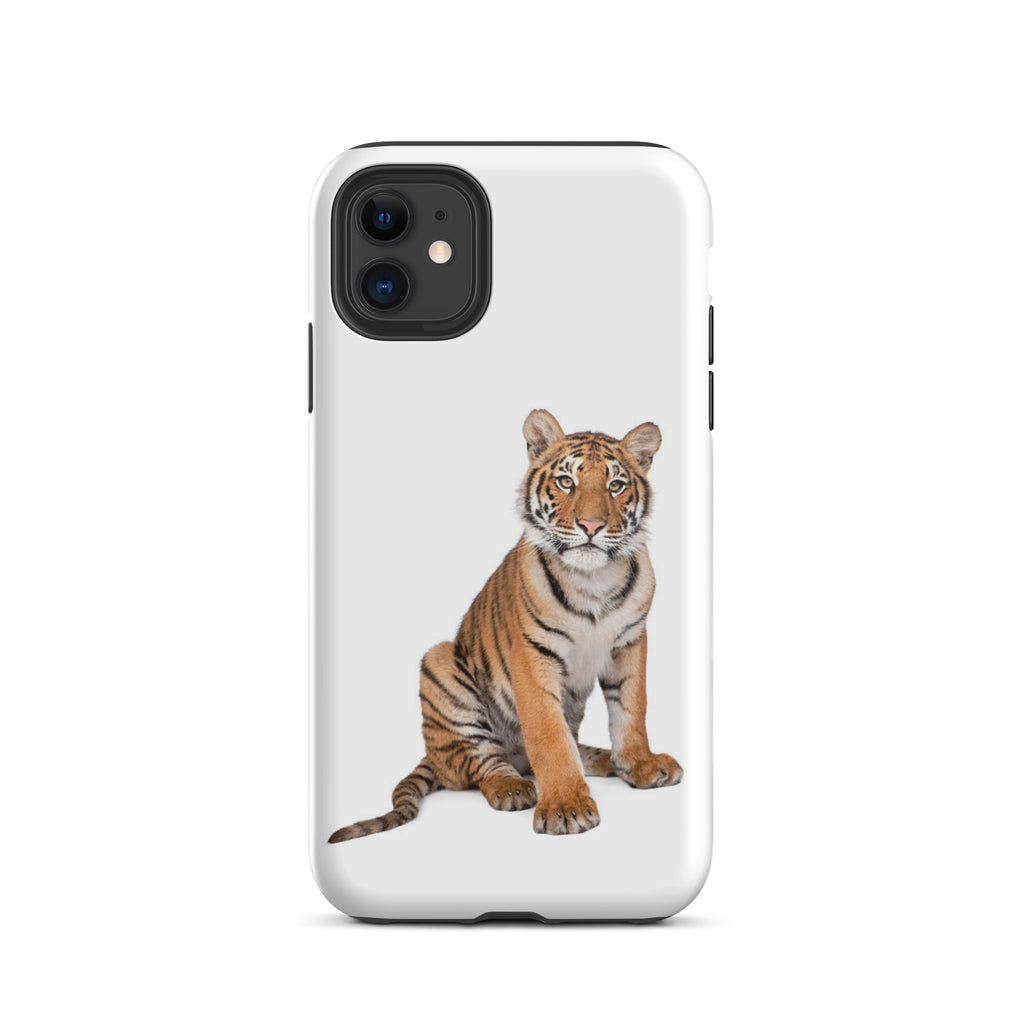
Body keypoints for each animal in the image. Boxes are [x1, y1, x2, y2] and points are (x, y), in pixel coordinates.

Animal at [328, 408, 682, 841]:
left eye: (615, 486)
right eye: (567, 481)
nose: (591, 526)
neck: (593, 580)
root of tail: (431, 755)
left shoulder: (629, 643)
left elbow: (632, 711)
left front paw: (640, 764)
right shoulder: (532, 654)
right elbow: (548, 735)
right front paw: (566, 806)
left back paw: (604, 759)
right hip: (440, 665)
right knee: (481, 763)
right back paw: (512, 787)